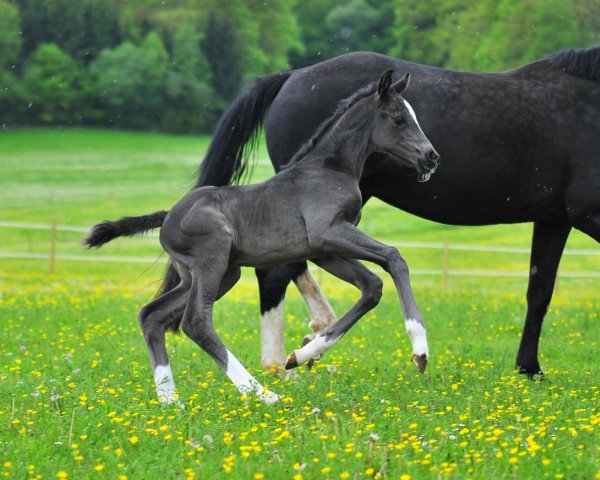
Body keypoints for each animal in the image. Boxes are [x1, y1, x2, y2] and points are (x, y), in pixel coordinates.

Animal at [84, 69, 438, 404]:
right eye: (398, 118)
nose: (431, 156)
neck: (330, 168)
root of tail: (168, 215)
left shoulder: (324, 251)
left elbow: (372, 287)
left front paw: (302, 355)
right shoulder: (329, 232)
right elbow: (394, 257)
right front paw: (420, 351)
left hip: (216, 274)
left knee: (151, 316)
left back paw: (172, 403)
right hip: (213, 262)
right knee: (195, 322)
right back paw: (261, 393)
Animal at [161, 45, 600, 376]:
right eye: (399, 117)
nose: (432, 157)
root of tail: (292, 75)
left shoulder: (553, 219)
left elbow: (539, 291)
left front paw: (529, 367)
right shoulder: (587, 213)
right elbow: (394, 260)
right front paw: (420, 346)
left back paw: (309, 344)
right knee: (275, 274)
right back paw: (285, 361)